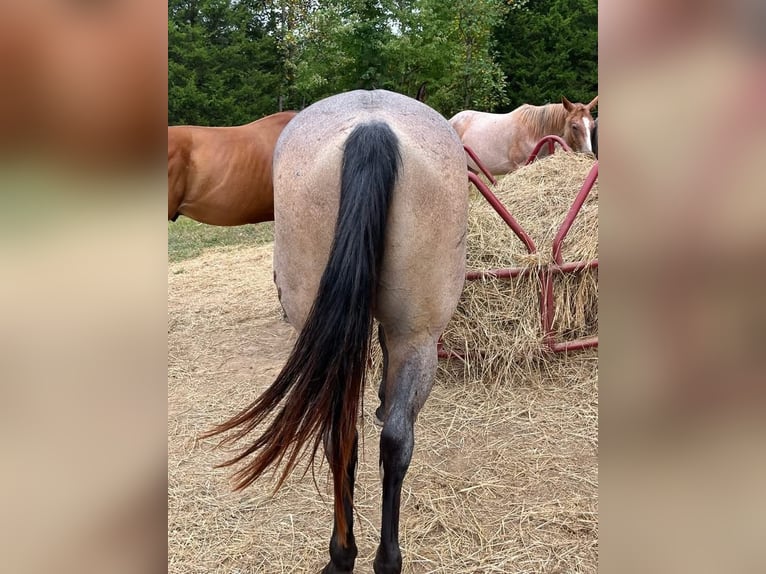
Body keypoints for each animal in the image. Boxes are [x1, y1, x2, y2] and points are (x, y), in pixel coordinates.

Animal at [204, 90, 468, 574]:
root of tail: (372, 128)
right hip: (418, 339)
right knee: (387, 439)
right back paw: (373, 559)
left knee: (353, 437)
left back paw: (350, 556)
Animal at [450, 96, 600, 176]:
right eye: (574, 126)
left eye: (592, 126)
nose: (588, 155)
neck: (532, 133)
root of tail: (452, 120)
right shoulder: (520, 167)